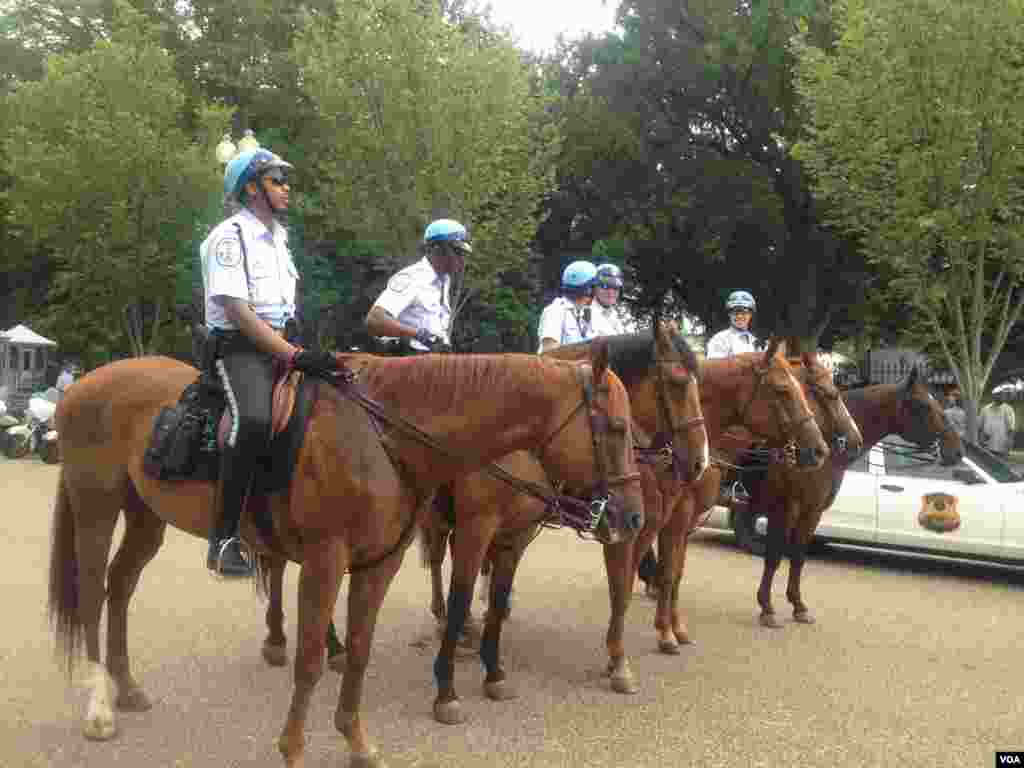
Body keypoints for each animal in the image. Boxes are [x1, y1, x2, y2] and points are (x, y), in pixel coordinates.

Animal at [49, 346, 638, 768]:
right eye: (615, 429)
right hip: (97, 508)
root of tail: (81, 386)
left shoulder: (379, 565)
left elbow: (358, 648)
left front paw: (356, 740)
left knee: (121, 587)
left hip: (146, 517)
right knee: (94, 596)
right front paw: (293, 748)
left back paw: (126, 689)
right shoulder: (327, 560)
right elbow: (311, 657)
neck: (385, 436)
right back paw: (99, 709)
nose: (631, 518)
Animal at [753, 370, 958, 626]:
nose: (957, 449)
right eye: (923, 405)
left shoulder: (811, 512)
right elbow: (774, 556)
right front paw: (767, 607)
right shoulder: (787, 509)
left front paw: (798, 605)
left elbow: (798, 556)